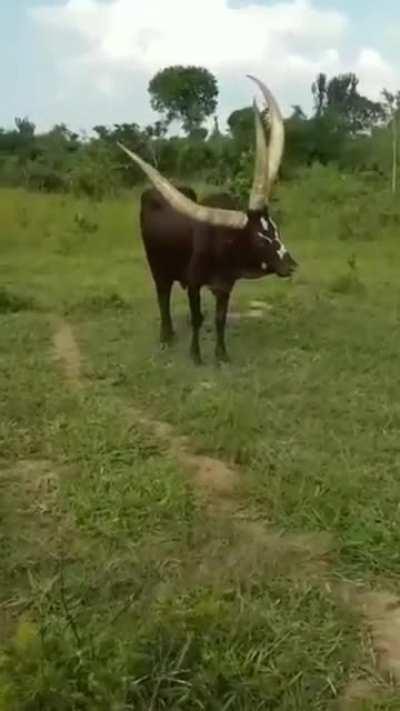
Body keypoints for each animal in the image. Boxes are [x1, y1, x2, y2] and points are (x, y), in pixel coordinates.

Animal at [118, 76, 297, 364]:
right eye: (260, 239)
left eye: (276, 230)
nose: (291, 265)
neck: (223, 243)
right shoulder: (193, 283)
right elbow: (197, 318)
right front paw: (195, 355)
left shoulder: (225, 286)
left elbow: (220, 318)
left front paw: (221, 354)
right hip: (157, 267)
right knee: (162, 296)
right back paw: (166, 335)